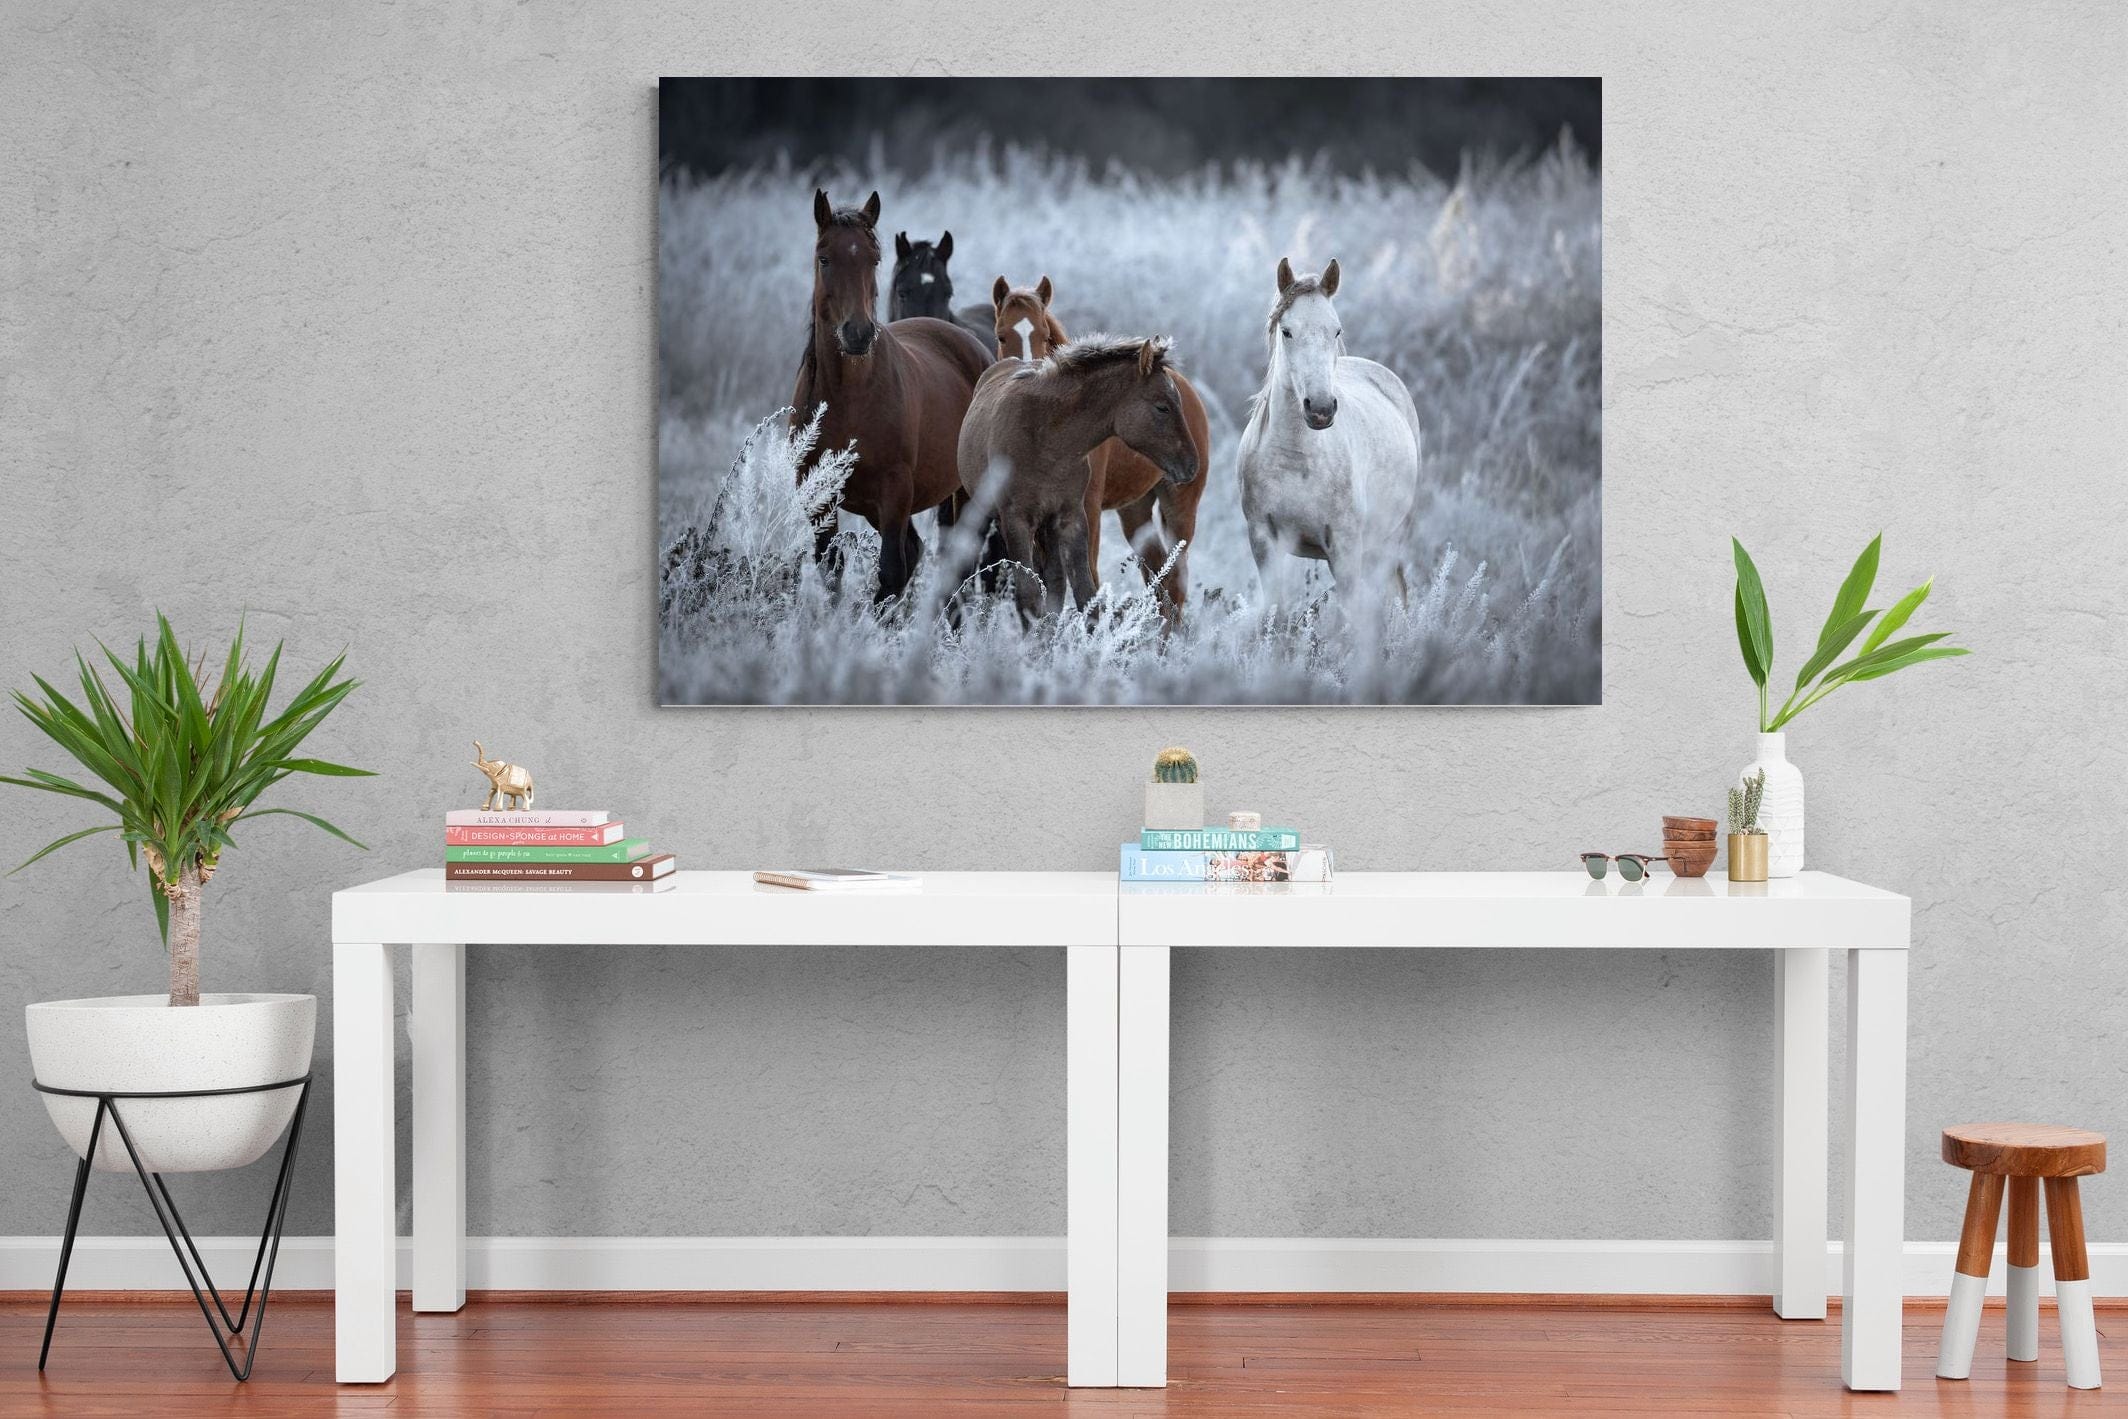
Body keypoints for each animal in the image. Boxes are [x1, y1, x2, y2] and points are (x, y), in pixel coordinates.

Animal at [792, 191, 993, 601]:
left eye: (874, 259)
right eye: (824, 258)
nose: (857, 333)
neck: (847, 396)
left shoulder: (895, 493)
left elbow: (889, 573)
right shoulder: (819, 496)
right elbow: (831, 570)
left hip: (965, 492)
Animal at [956, 335, 1198, 619]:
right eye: (1162, 407)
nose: (1191, 465)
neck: (1046, 439)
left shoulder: (1071, 517)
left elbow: (1084, 594)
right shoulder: (1016, 521)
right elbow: (1028, 597)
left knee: (1056, 582)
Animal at [990, 277, 1211, 624]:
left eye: (1044, 334)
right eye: (1002, 334)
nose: (1025, 368)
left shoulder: (1086, 508)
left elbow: (1088, 578)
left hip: (1180, 507)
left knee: (1175, 580)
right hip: (1135, 510)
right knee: (1158, 575)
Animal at [1237, 257, 1421, 608]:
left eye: (1336, 330)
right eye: (1287, 331)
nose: (1320, 409)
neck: (1296, 459)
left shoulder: (1345, 549)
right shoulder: (1264, 543)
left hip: (1389, 541)